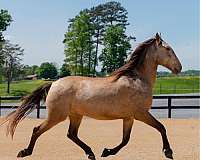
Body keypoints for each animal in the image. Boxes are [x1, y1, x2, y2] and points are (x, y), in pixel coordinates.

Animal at [1, 32, 181, 159]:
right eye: (167, 48)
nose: (179, 67)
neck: (137, 79)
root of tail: (53, 83)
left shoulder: (129, 117)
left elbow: (125, 139)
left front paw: (107, 151)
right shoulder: (141, 113)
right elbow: (161, 127)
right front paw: (168, 152)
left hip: (75, 115)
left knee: (71, 134)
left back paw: (91, 153)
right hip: (56, 116)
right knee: (37, 129)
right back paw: (25, 152)